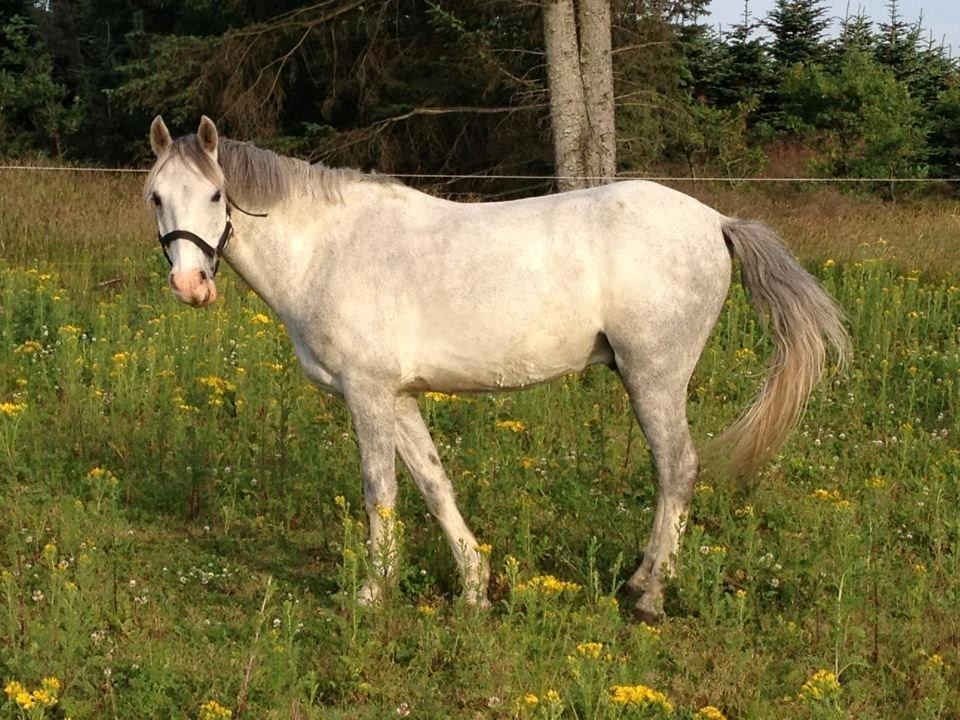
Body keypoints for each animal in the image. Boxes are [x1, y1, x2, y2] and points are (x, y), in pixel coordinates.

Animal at [145, 115, 848, 621]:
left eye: (216, 193)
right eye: (155, 197)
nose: (190, 285)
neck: (327, 249)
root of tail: (716, 220)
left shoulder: (367, 394)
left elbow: (380, 490)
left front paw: (373, 593)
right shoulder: (398, 396)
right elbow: (433, 483)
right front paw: (476, 588)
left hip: (655, 379)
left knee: (677, 469)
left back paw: (648, 593)